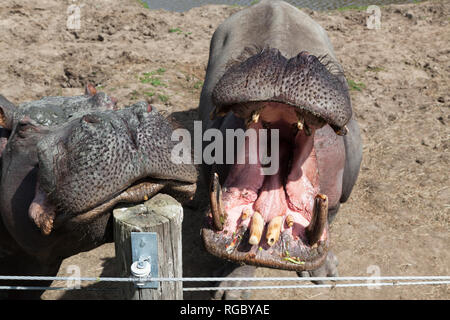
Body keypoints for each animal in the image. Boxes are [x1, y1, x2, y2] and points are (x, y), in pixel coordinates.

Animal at [200, 0, 362, 296]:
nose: (287, 60)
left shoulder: (333, 202)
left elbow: (329, 219)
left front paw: (325, 275)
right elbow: (239, 255)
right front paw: (230, 291)